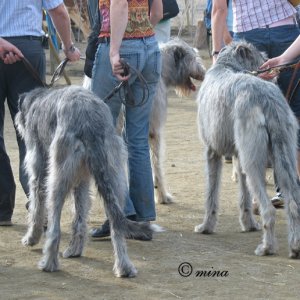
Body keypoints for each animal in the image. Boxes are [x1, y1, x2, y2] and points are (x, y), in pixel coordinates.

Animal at [15, 85, 162, 278]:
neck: (37, 100)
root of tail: (90, 122)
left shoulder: (38, 173)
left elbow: (36, 208)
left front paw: (31, 238)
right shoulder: (82, 180)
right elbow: (79, 215)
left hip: (58, 176)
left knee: (55, 227)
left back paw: (49, 263)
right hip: (114, 175)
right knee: (116, 223)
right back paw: (123, 267)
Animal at [196, 41, 300, 258]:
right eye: (257, 54)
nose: (268, 60)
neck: (226, 66)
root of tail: (268, 100)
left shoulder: (212, 151)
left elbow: (211, 192)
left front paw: (206, 226)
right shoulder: (238, 156)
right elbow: (244, 195)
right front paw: (249, 224)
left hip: (253, 161)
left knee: (268, 209)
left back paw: (267, 247)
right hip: (283, 153)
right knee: (294, 203)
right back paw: (295, 247)